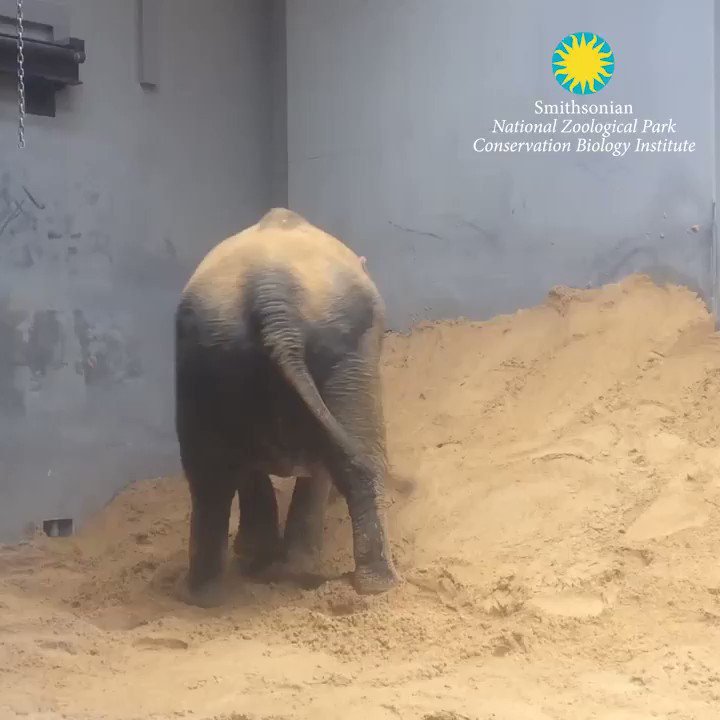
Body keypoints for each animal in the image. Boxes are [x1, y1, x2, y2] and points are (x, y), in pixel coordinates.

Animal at [174, 208, 400, 608]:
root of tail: (270, 293)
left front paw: (259, 557)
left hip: (205, 361)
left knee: (207, 478)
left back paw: (203, 594)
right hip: (346, 353)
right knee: (358, 461)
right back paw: (374, 584)